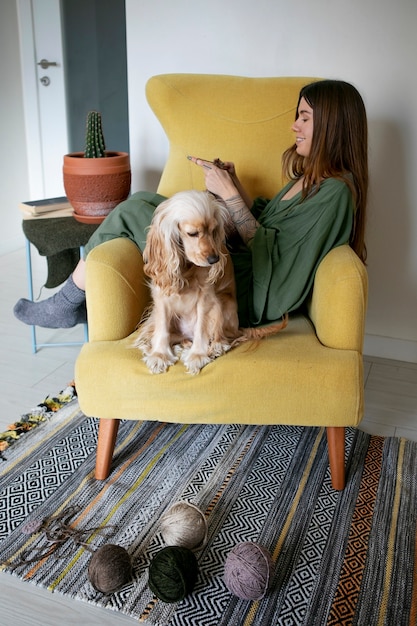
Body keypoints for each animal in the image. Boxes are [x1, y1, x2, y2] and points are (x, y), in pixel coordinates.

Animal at [133, 190, 286, 372]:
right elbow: (162, 327)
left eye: (214, 231)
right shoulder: (161, 295)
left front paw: (197, 355)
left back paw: (215, 347)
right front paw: (159, 355)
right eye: (192, 233)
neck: (186, 267)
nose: (214, 259)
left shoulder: (205, 296)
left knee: (224, 337)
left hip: (222, 303)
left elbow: (201, 326)